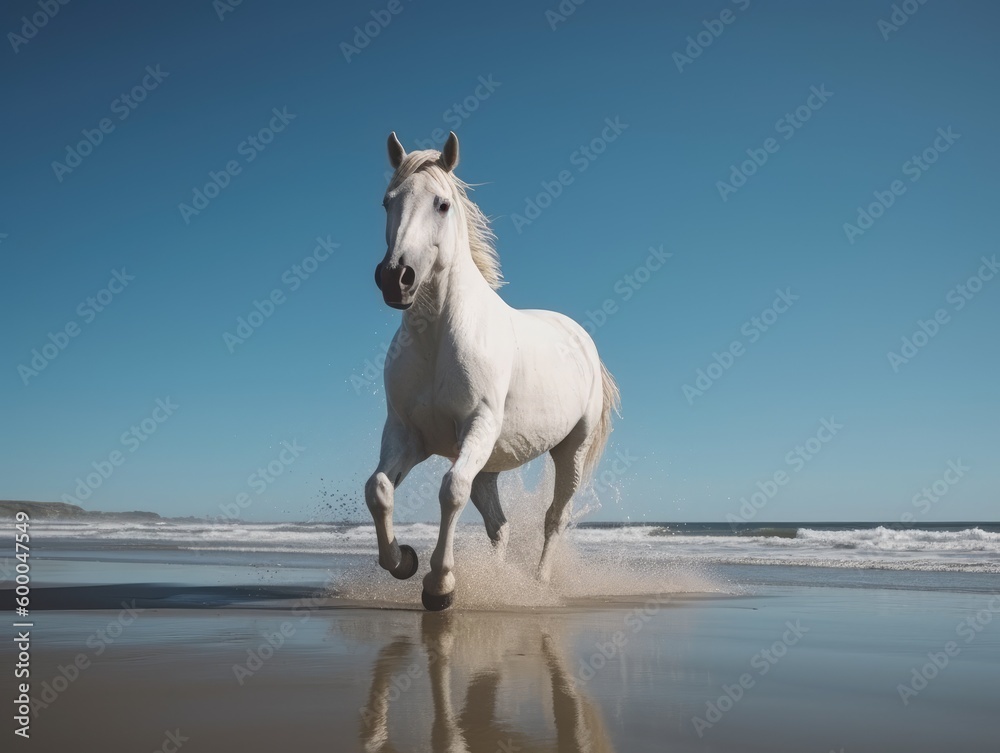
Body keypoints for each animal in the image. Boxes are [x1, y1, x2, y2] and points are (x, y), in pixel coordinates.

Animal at [365, 130, 620, 611]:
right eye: (387, 202)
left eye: (442, 204)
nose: (395, 278)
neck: (438, 339)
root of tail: (582, 340)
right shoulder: (407, 434)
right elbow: (379, 489)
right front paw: (403, 561)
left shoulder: (477, 424)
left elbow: (450, 491)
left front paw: (440, 586)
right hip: (490, 463)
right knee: (499, 526)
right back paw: (501, 582)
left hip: (569, 452)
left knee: (554, 518)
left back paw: (538, 584)